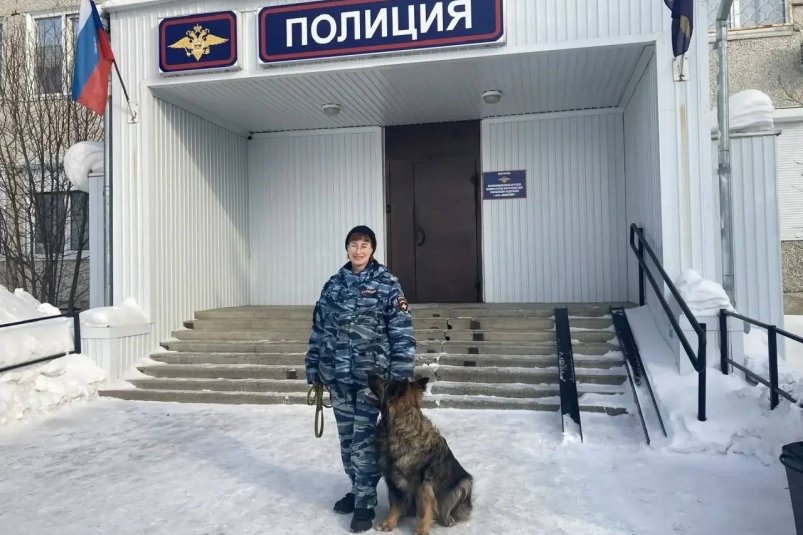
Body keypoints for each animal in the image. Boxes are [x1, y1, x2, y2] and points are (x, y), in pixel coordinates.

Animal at [368, 375, 473, 535]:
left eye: (385, 383)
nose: (369, 374)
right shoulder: (394, 482)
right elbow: (394, 505)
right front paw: (389, 523)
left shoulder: (424, 487)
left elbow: (423, 512)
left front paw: (421, 531)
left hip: (464, 483)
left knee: (448, 509)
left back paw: (447, 519)